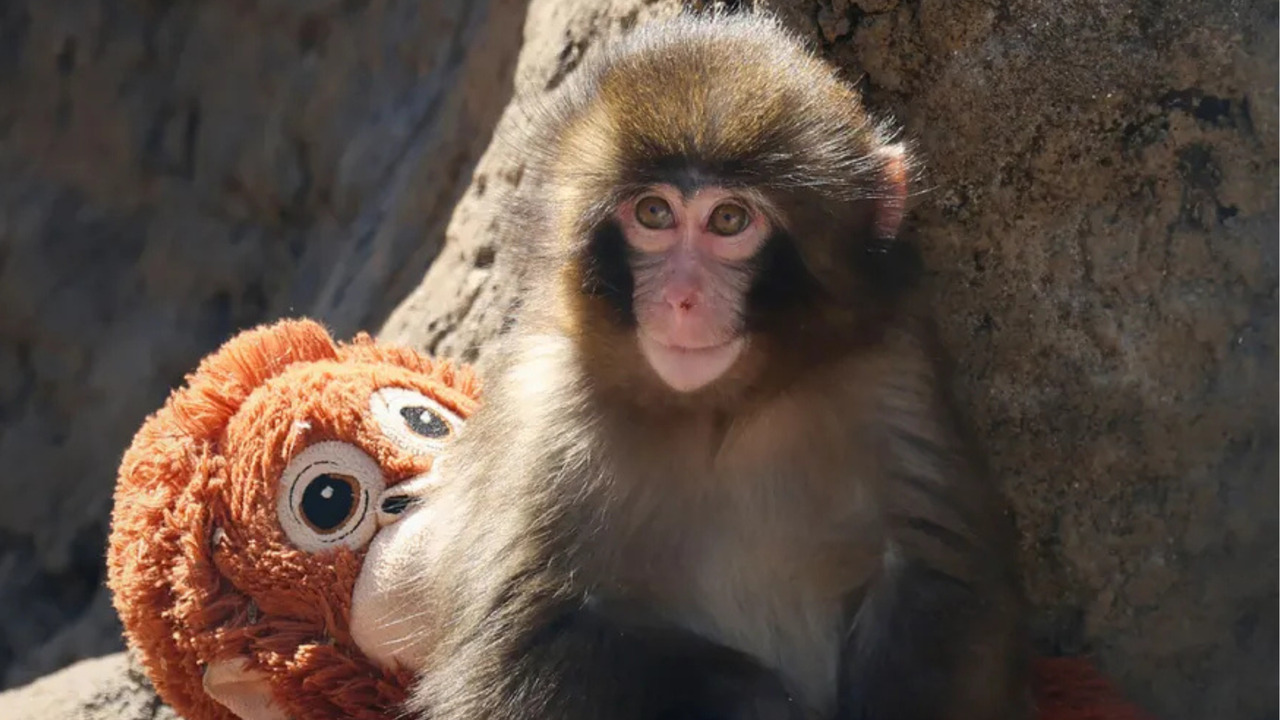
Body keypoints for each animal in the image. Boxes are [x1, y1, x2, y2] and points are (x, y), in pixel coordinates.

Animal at [390, 10, 1031, 720]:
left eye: (728, 219)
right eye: (653, 213)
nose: (680, 298)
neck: (721, 407)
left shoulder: (891, 370)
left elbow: (936, 579)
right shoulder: (546, 412)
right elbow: (515, 652)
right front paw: (755, 698)